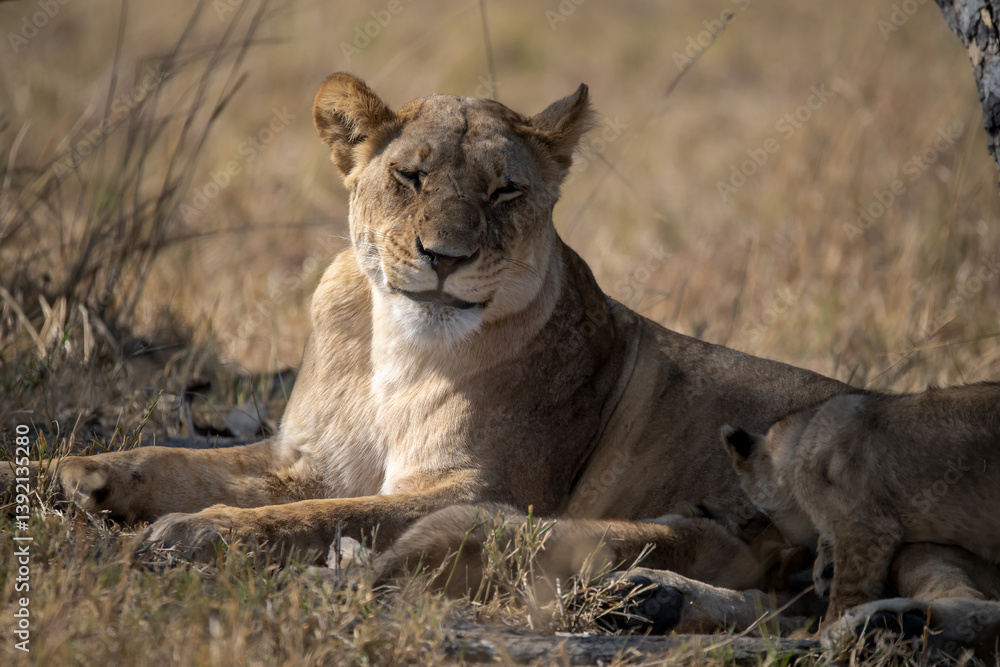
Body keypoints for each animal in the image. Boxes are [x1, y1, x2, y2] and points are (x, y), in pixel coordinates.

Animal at [722, 383, 1000, 620]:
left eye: (768, 512)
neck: (800, 440)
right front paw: (824, 569)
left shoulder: (869, 530)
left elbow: (847, 593)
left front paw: (829, 631)